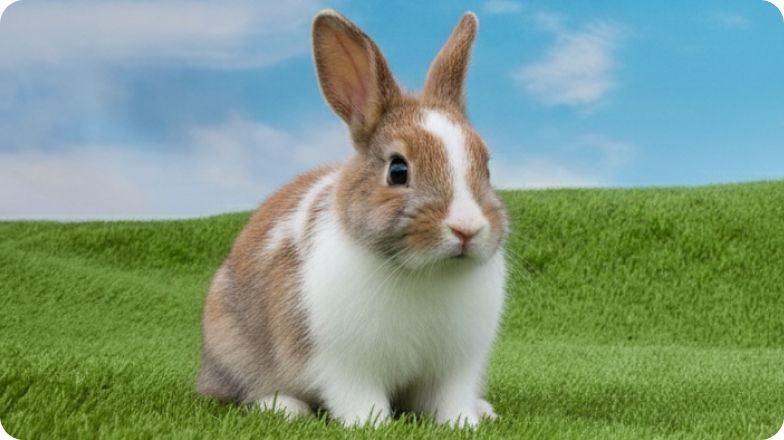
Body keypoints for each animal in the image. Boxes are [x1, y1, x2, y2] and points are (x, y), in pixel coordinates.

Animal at [196, 9, 508, 428]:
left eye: (487, 167)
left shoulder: (455, 368)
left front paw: (465, 423)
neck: (425, 273)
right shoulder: (347, 366)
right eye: (397, 170)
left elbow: (451, 400)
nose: (466, 229)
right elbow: (359, 398)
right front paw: (372, 425)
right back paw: (285, 407)